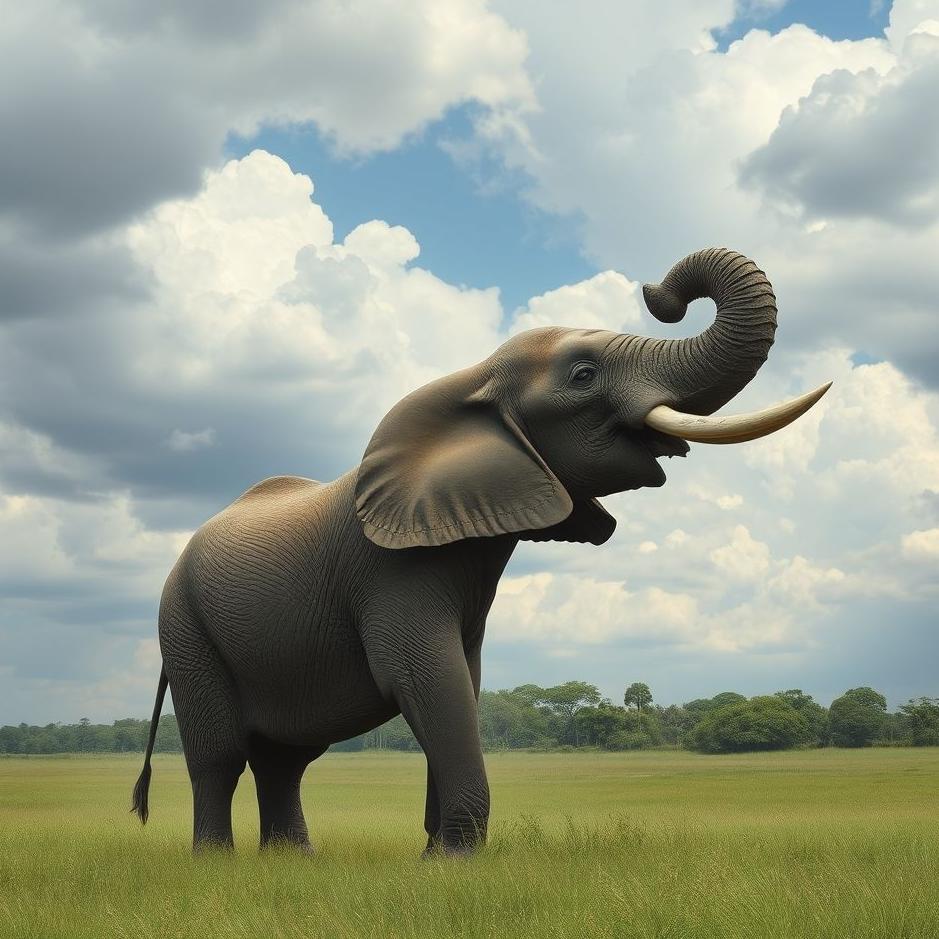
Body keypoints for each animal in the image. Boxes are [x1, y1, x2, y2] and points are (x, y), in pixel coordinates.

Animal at [132, 247, 828, 856]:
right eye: (583, 376)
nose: (660, 293)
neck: (473, 379)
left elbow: (461, 681)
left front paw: (436, 856)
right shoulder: (390, 571)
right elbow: (426, 678)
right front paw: (456, 863)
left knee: (285, 758)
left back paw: (292, 861)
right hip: (184, 625)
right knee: (220, 754)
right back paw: (216, 862)